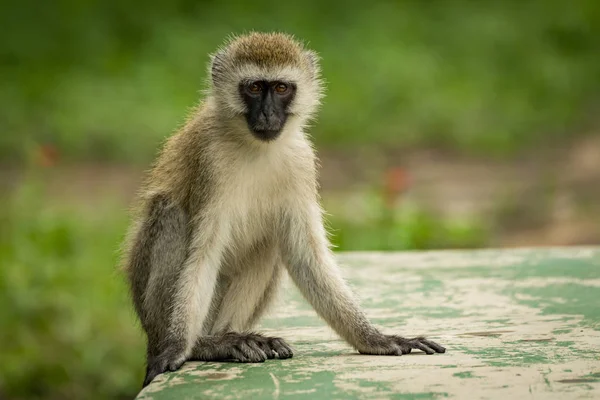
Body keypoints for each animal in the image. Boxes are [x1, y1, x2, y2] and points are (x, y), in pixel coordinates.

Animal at [120, 31, 446, 388]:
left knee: (266, 245)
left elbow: (306, 256)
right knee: (170, 213)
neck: (255, 147)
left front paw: (375, 340)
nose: (266, 115)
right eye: (253, 87)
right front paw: (179, 349)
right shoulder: (210, 162)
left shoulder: (301, 159)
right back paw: (206, 345)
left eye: (280, 88)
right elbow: (203, 254)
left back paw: (230, 336)